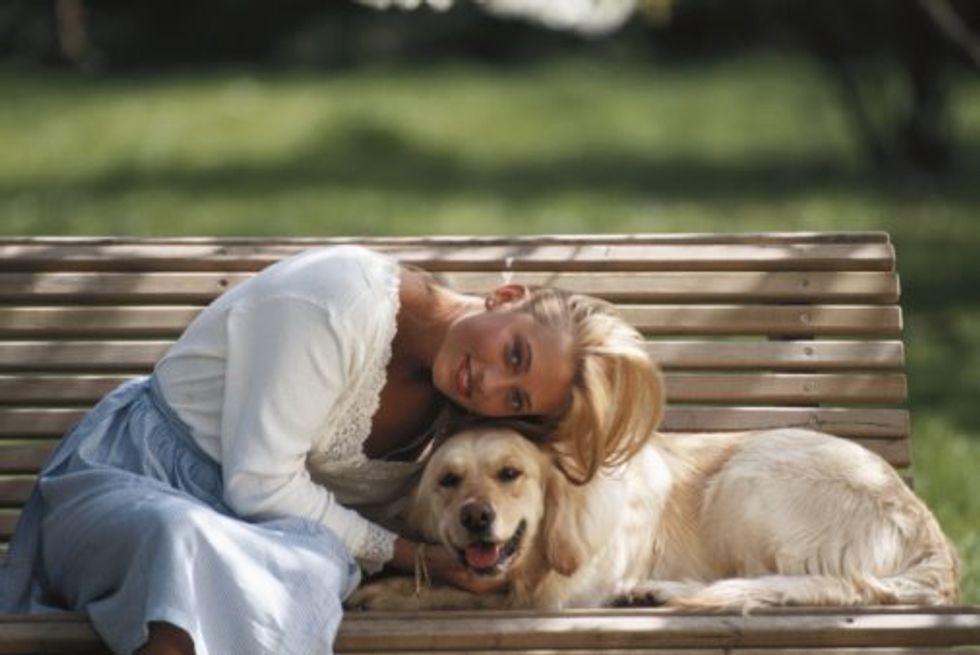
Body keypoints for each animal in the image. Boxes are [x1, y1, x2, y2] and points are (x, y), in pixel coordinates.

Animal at [346, 428, 956, 612]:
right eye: (448, 481)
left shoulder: (566, 594)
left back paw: (660, 590)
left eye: (510, 473)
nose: (477, 517)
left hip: (746, 478)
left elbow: (483, 592)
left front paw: (393, 591)